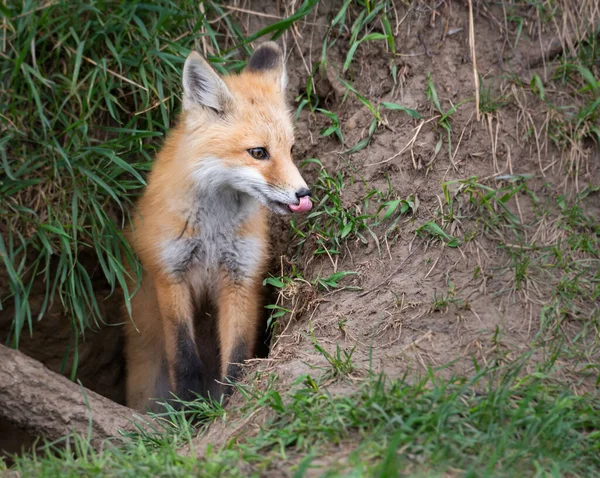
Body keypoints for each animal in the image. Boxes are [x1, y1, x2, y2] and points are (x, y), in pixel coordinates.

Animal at [124, 43, 312, 412]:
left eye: (291, 149)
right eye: (258, 152)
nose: (303, 194)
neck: (213, 232)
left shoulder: (241, 279)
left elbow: (237, 355)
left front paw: (232, 400)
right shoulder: (170, 274)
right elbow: (183, 355)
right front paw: (187, 409)